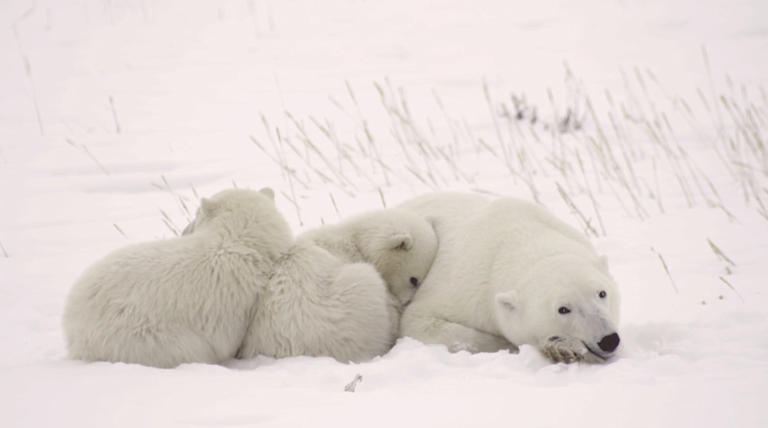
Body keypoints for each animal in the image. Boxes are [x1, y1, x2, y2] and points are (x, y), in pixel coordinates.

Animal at [396, 192, 621, 364]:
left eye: (602, 293)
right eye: (563, 309)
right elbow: (417, 321)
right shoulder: (460, 288)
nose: (609, 340)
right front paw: (560, 347)